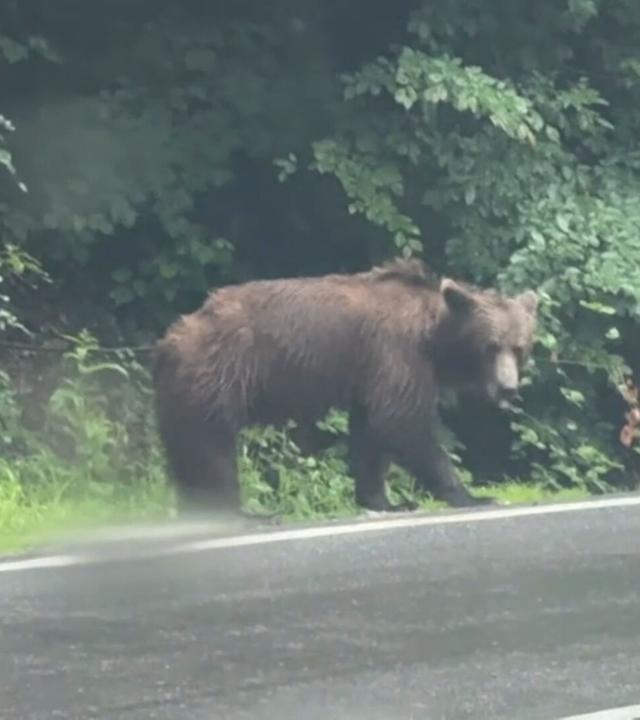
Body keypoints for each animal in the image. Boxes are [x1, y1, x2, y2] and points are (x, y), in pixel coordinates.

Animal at [152, 258, 539, 517]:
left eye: (519, 347)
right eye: (491, 346)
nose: (508, 387)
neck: (433, 336)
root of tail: (172, 336)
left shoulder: (370, 373)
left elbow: (371, 433)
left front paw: (387, 501)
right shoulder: (395, 352)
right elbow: (403, 421)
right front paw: (475, 496)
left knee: (187, 449)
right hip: (220, 375)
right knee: (212, 449)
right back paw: (242, 512)